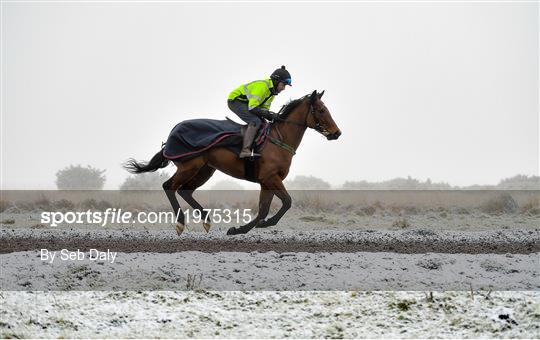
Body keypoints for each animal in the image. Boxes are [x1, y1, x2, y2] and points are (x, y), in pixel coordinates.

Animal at [124, 89, 340, 235]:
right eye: (321, 110)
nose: (337, 133)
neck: (279, 139)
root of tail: (173, 131)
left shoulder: (267, 181)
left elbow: (263, 209)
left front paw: (239, 229)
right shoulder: (270, 177)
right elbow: (286, 202)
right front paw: (260, 225)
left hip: (205, 170)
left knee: (185, 190)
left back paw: (206, 220)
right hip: (189, 166)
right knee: (169, 186)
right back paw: (181, 222)